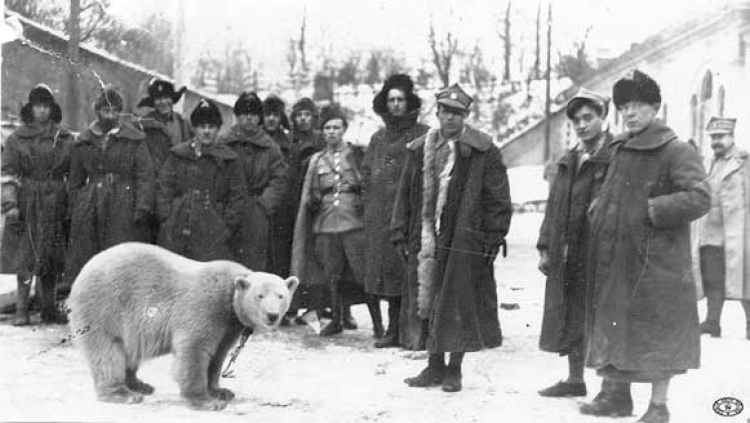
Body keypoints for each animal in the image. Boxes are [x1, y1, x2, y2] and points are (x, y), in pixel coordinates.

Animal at [67, 243, 296, 412]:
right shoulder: (207, 306)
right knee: (107, 351)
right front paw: (207, 401)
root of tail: (82, 273)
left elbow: (218, 355)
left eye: (281, 296)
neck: (230, 298)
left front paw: (221, 391)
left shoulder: (230, 326)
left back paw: (140, 384)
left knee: (129, 351)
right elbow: (194, 349)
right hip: (104, 307)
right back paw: (123, 394)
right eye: (260, 296)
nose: (272, 315)